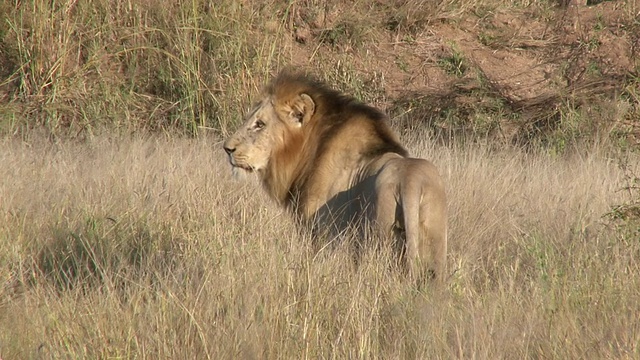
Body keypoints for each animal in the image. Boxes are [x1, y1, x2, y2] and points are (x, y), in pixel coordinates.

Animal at [225, 71, 450, 284]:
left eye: (260, 124)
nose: (227, 149)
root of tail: (411, 182)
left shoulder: (325, 232)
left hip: (380, 235)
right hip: (434, 242)